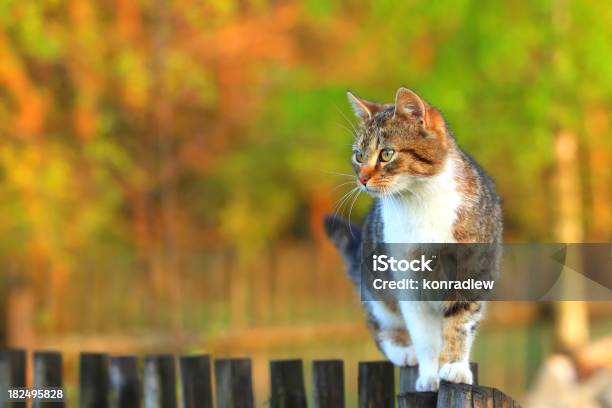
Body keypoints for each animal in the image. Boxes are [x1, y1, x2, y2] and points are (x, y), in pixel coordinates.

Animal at [326, 88, 502, 392]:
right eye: (359, 156)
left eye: (386, 154)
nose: (362, 179)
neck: (420, 200)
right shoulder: (407, 280)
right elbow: (424, 335)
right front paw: (429, 375)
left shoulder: (472, 271)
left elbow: (460, 321)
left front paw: (454, 366)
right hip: (376, 288)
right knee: (379, 324)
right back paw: (403, 351)